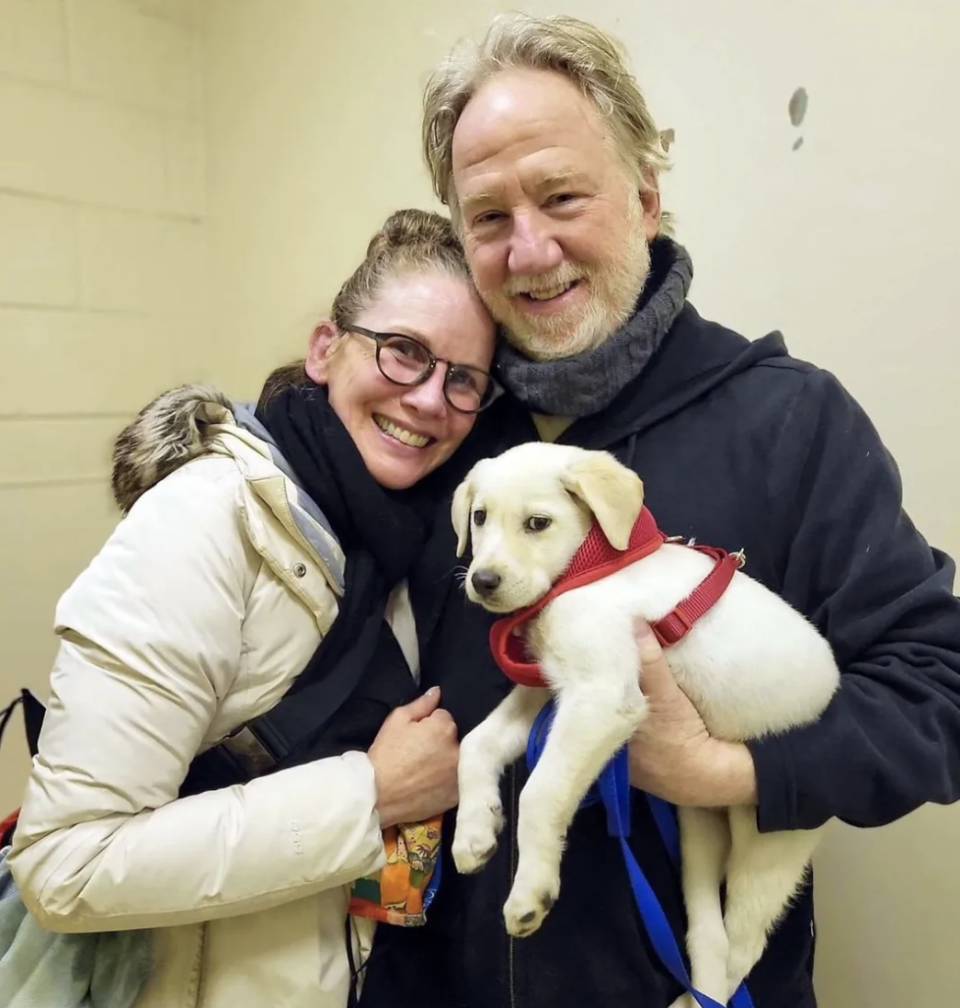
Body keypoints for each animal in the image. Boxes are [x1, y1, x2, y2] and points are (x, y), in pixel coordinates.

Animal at [451, 443, 838, 1008]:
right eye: (479, 518)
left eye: (538, 523)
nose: (483, 581)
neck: (588, 567)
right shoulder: (549, 690)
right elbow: (476, 745)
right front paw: (474, 832)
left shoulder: (600, 696)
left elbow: (540, 793)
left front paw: (530, 891)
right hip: (698, 832)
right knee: (708, 935)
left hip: (769, 848)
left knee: (744, 945)